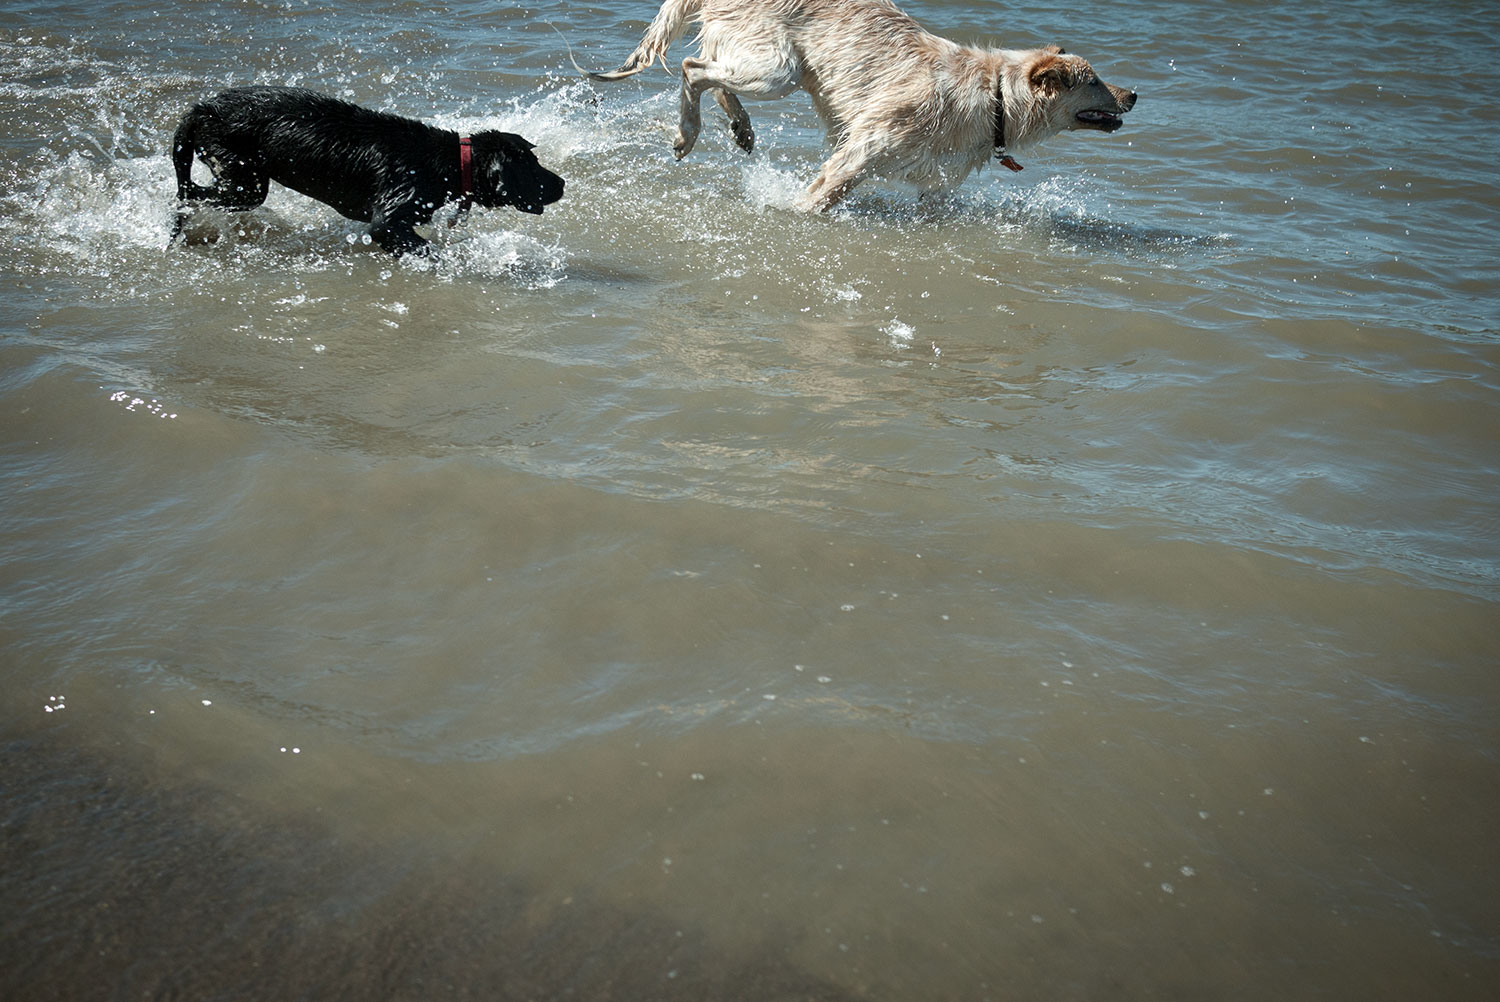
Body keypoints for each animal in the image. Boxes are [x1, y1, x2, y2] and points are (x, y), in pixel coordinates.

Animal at [170, 86, 564, 256]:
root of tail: (201, 108)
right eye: (532, 166)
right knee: (187, 194)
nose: (562, 183)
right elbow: (420, 247)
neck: (450, 163)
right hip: (244, 182)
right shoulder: (387, 221)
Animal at [585, 0, 1134, 210]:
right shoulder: (859, 155)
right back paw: (689, 132)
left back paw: (740, 127)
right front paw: (790, 214)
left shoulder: (938, 188)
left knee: (710, 72)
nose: (1133, 95)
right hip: (779, 69)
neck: (993, 98)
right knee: (692, 68)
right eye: (1094, 81)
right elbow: (815, 201)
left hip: (771, 65)